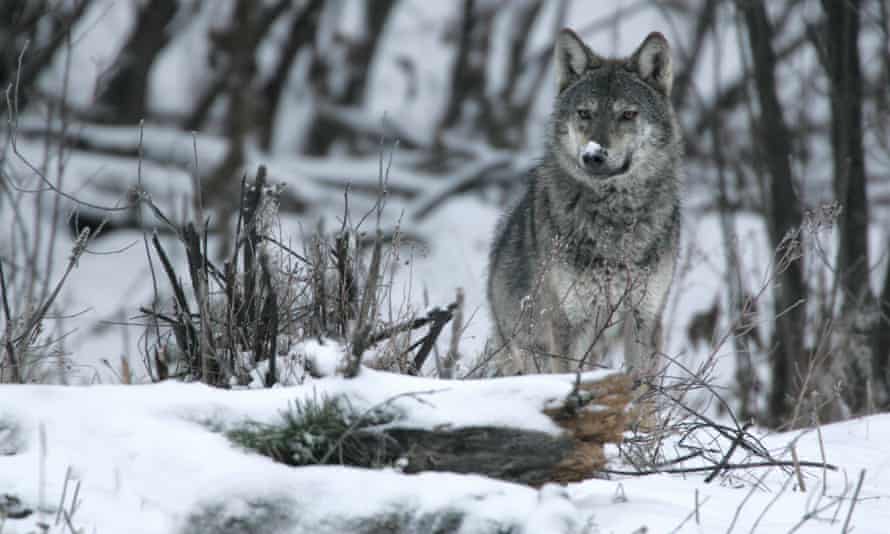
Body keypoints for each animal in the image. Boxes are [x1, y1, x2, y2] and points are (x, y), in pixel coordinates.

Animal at [486, 29, 680, 378]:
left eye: (627, 114)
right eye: (584, 113)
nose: (593, 155)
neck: (615, 219)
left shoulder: (645, 318)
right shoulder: (570, 321)